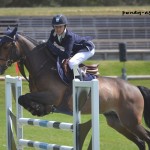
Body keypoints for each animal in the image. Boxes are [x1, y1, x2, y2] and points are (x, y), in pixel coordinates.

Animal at [0, 27, 150, 150]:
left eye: (6, 45)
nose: (0, 68)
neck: (43, 67)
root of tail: (135, 88)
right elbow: (23, 98)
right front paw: (38, 109)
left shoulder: (52, 96)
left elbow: (24, 97)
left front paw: (37, 109)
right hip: (116, 121)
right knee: (141, 142)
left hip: (131, 121)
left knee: (146, 138)